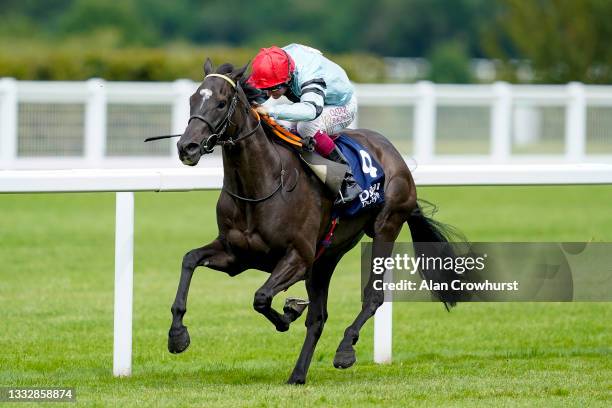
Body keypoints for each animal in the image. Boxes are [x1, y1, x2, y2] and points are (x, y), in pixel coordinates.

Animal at [170, 59, 462, 384]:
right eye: (192, 99)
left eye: (221, 103)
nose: (187, 147)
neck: (264, 184)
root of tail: (394, 154)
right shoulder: (237, 255)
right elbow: (189, 259)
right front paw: (177, 336)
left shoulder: (298, 257)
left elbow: (261, 297)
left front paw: (288, 314)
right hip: (327, 257)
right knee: (319, 317)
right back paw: (298, 374)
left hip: (386, 227)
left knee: (373, 296)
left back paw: (345, 349)